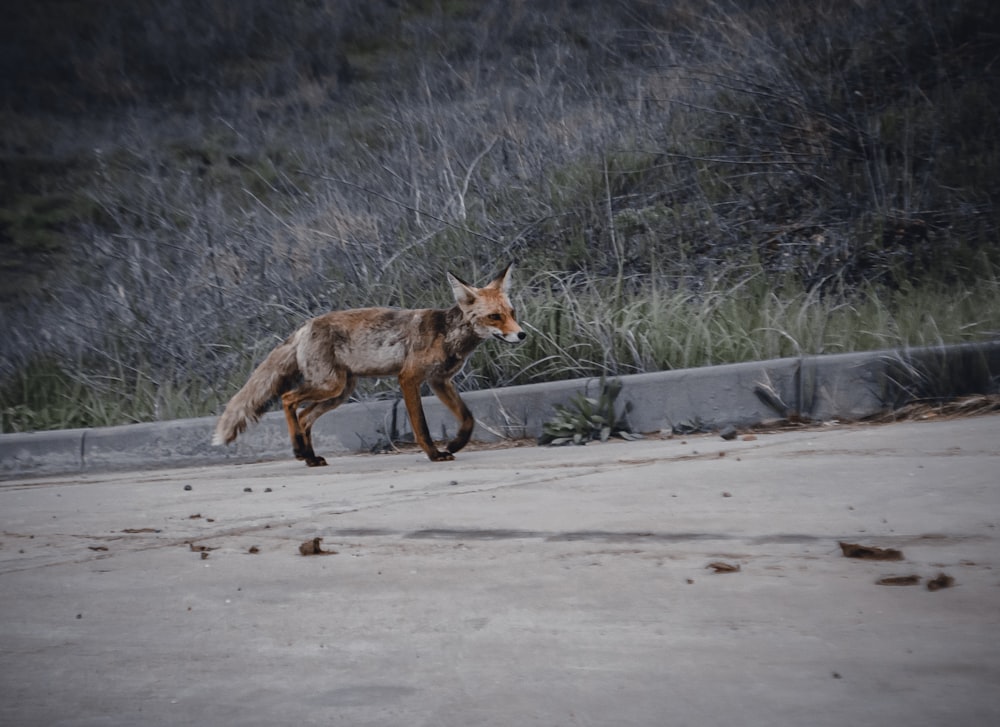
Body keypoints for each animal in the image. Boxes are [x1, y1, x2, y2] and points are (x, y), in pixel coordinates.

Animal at [214, 264, 528, 464]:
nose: (522, 334)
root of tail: (304, 326)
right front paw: (434, 454)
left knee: (304, 416)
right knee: (288, 398)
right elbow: (421, 426)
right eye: (495, 317)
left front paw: (455, 444)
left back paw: (310, 457)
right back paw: (298, 450)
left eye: (512, 313)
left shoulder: (440, 381)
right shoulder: (409, 378)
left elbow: (468, 418)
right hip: (330, 386)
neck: (447, 336)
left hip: (339, 392)